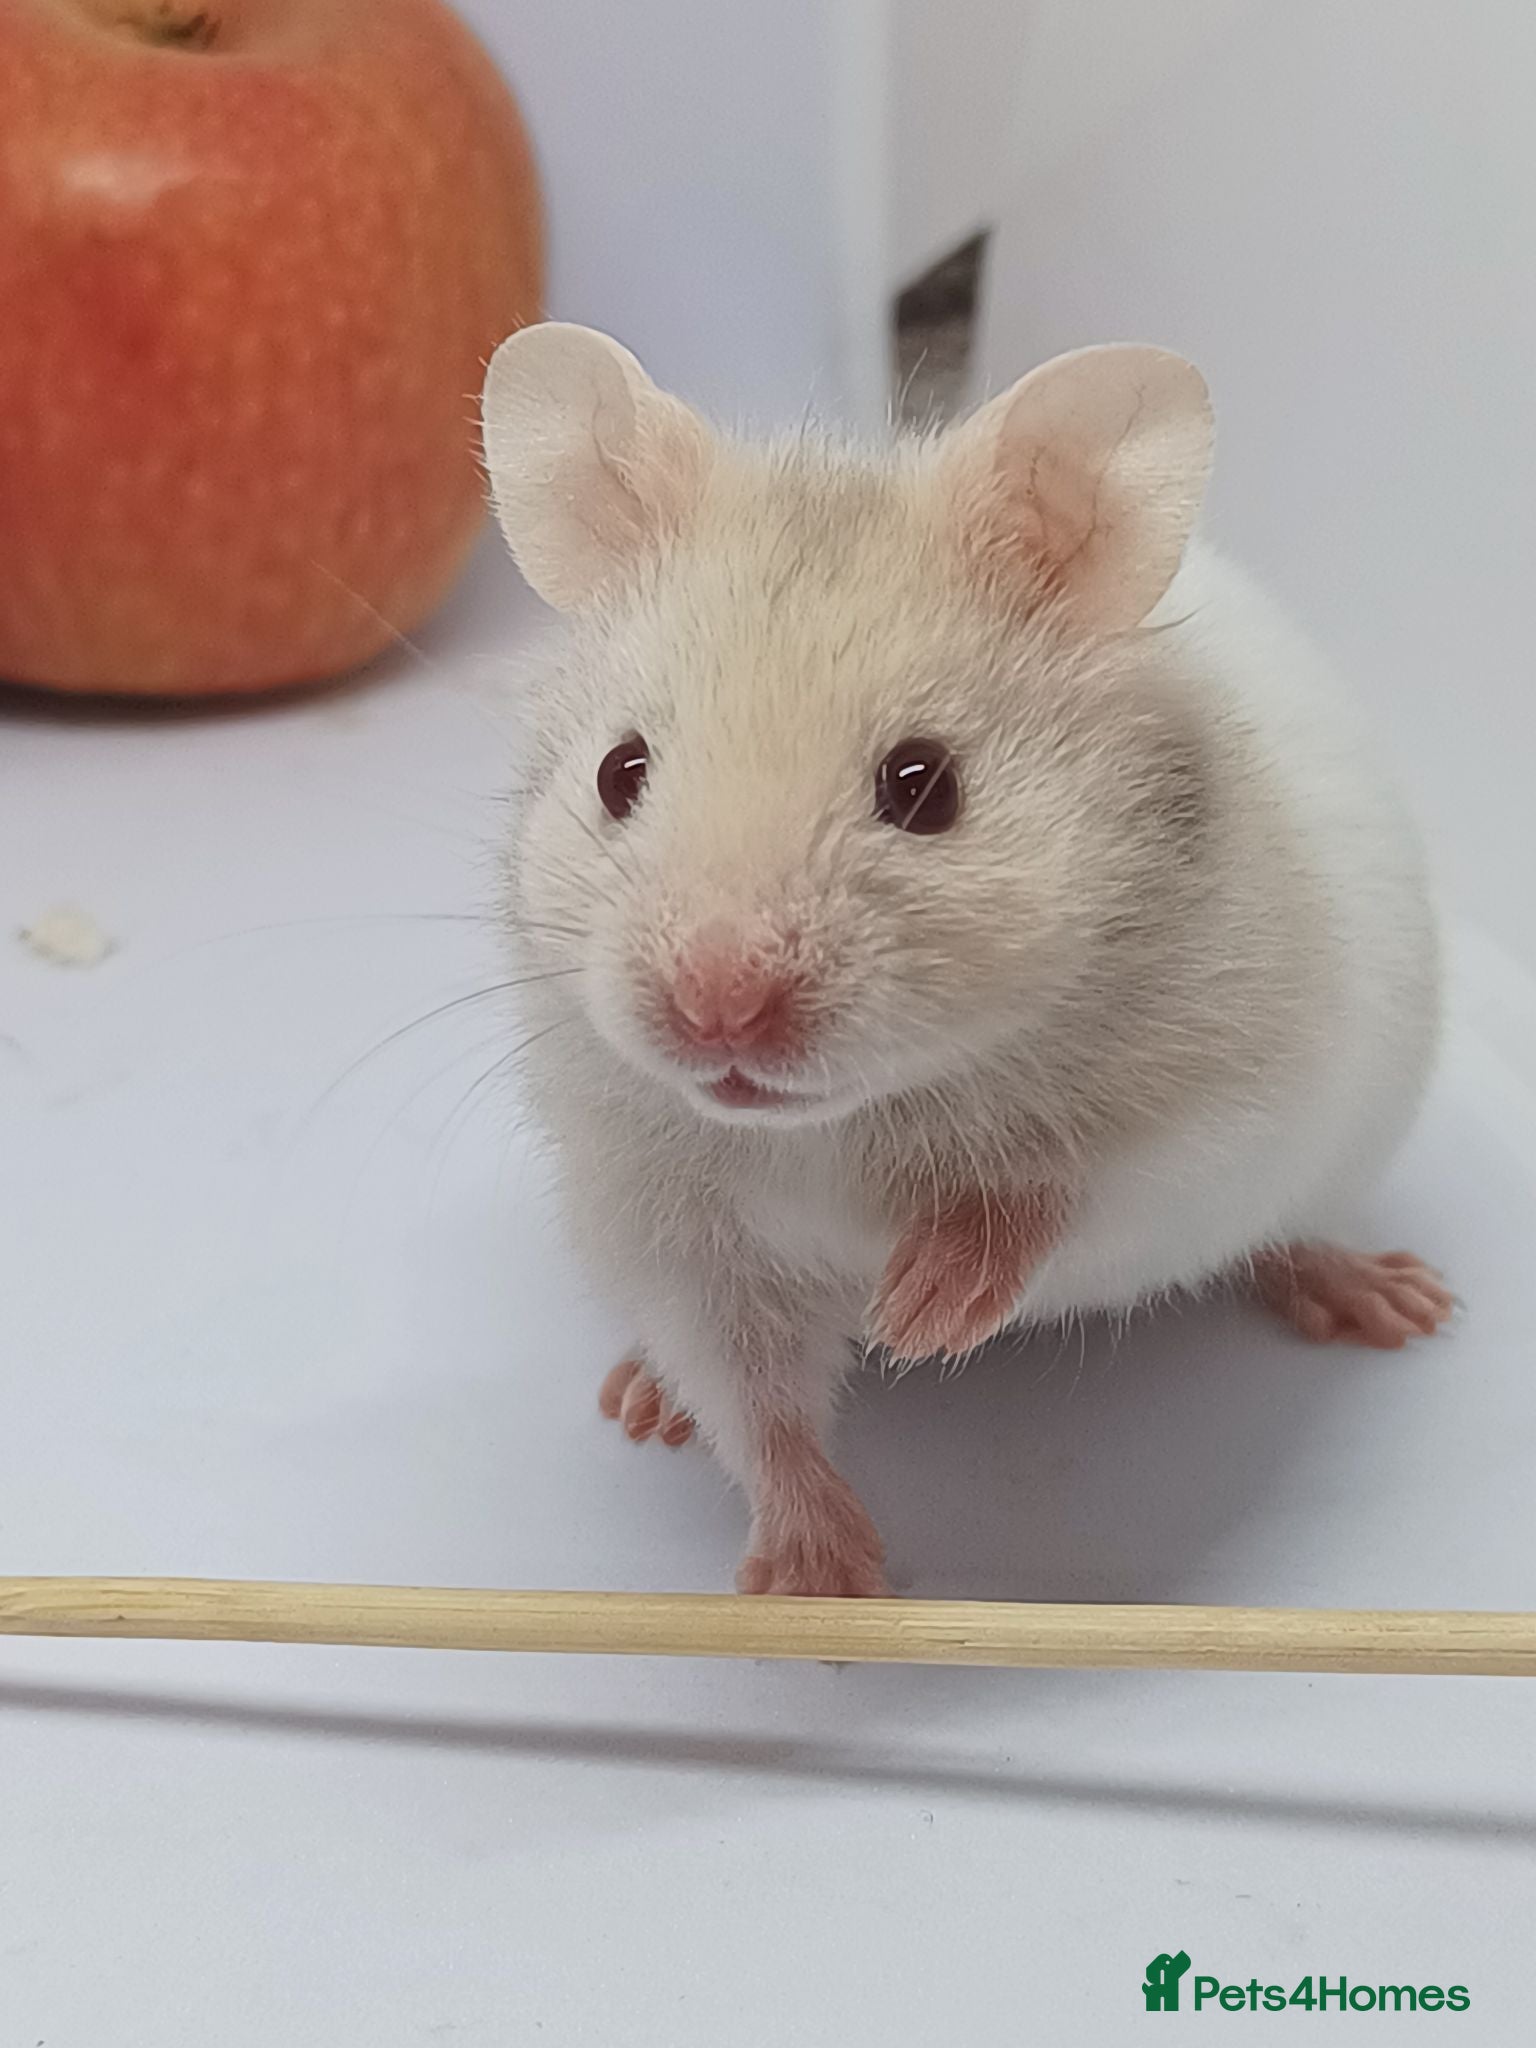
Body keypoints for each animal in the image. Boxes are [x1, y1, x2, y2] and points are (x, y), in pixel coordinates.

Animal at [479, 322, 1452, 1597]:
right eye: (618, 771)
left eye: (924, 784)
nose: (716, 1011)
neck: (838, 1122)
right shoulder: (672, 1235)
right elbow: (754, 1400)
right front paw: (817, 1586)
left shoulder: (1224, 1114)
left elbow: (1059, 1190)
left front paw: (921, 1315)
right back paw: (644, 1402)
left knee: (1290, 1231)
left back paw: (1399, 1302)